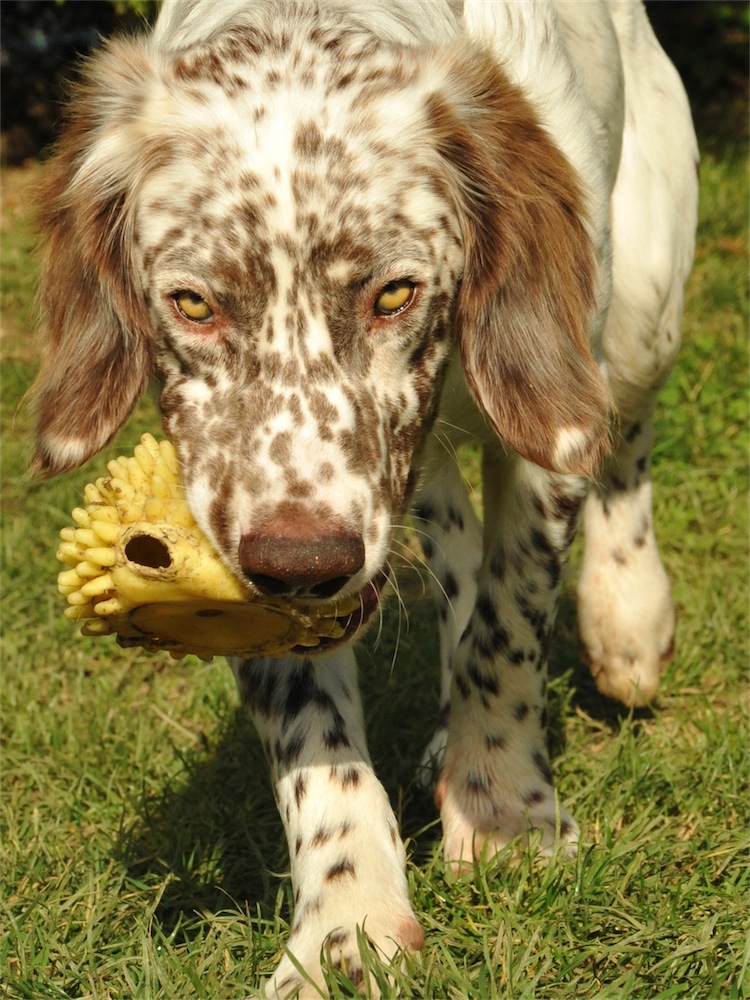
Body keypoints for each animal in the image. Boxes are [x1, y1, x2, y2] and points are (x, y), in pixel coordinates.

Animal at [30, 3, 700, 996]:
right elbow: (314, 731)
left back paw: (627, 619)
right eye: (193, 304)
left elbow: (509, 627)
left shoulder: (543, 429)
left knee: (623, 443)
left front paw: (507, 815)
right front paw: (347, 921)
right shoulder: (239, 528)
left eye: (394, 293)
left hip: (644, 304)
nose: (305, 564)